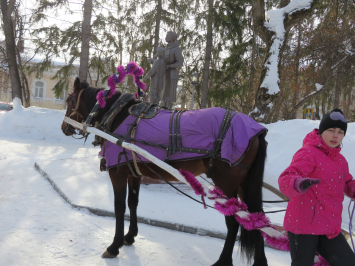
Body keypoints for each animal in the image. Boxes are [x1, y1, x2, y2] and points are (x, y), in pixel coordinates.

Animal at [61, 77, 268, 266]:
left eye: (69, 100)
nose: (64, 127)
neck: (115, 115)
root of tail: (257, 130)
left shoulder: (118, 172)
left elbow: (119, 207)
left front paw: (114, 246)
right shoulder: (134, 172)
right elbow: (133, 203)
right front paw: (130, 236)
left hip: (226, 184)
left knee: (233, 223)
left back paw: (223, 261)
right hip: (243, 185)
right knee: (258, 219)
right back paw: (260, 261)